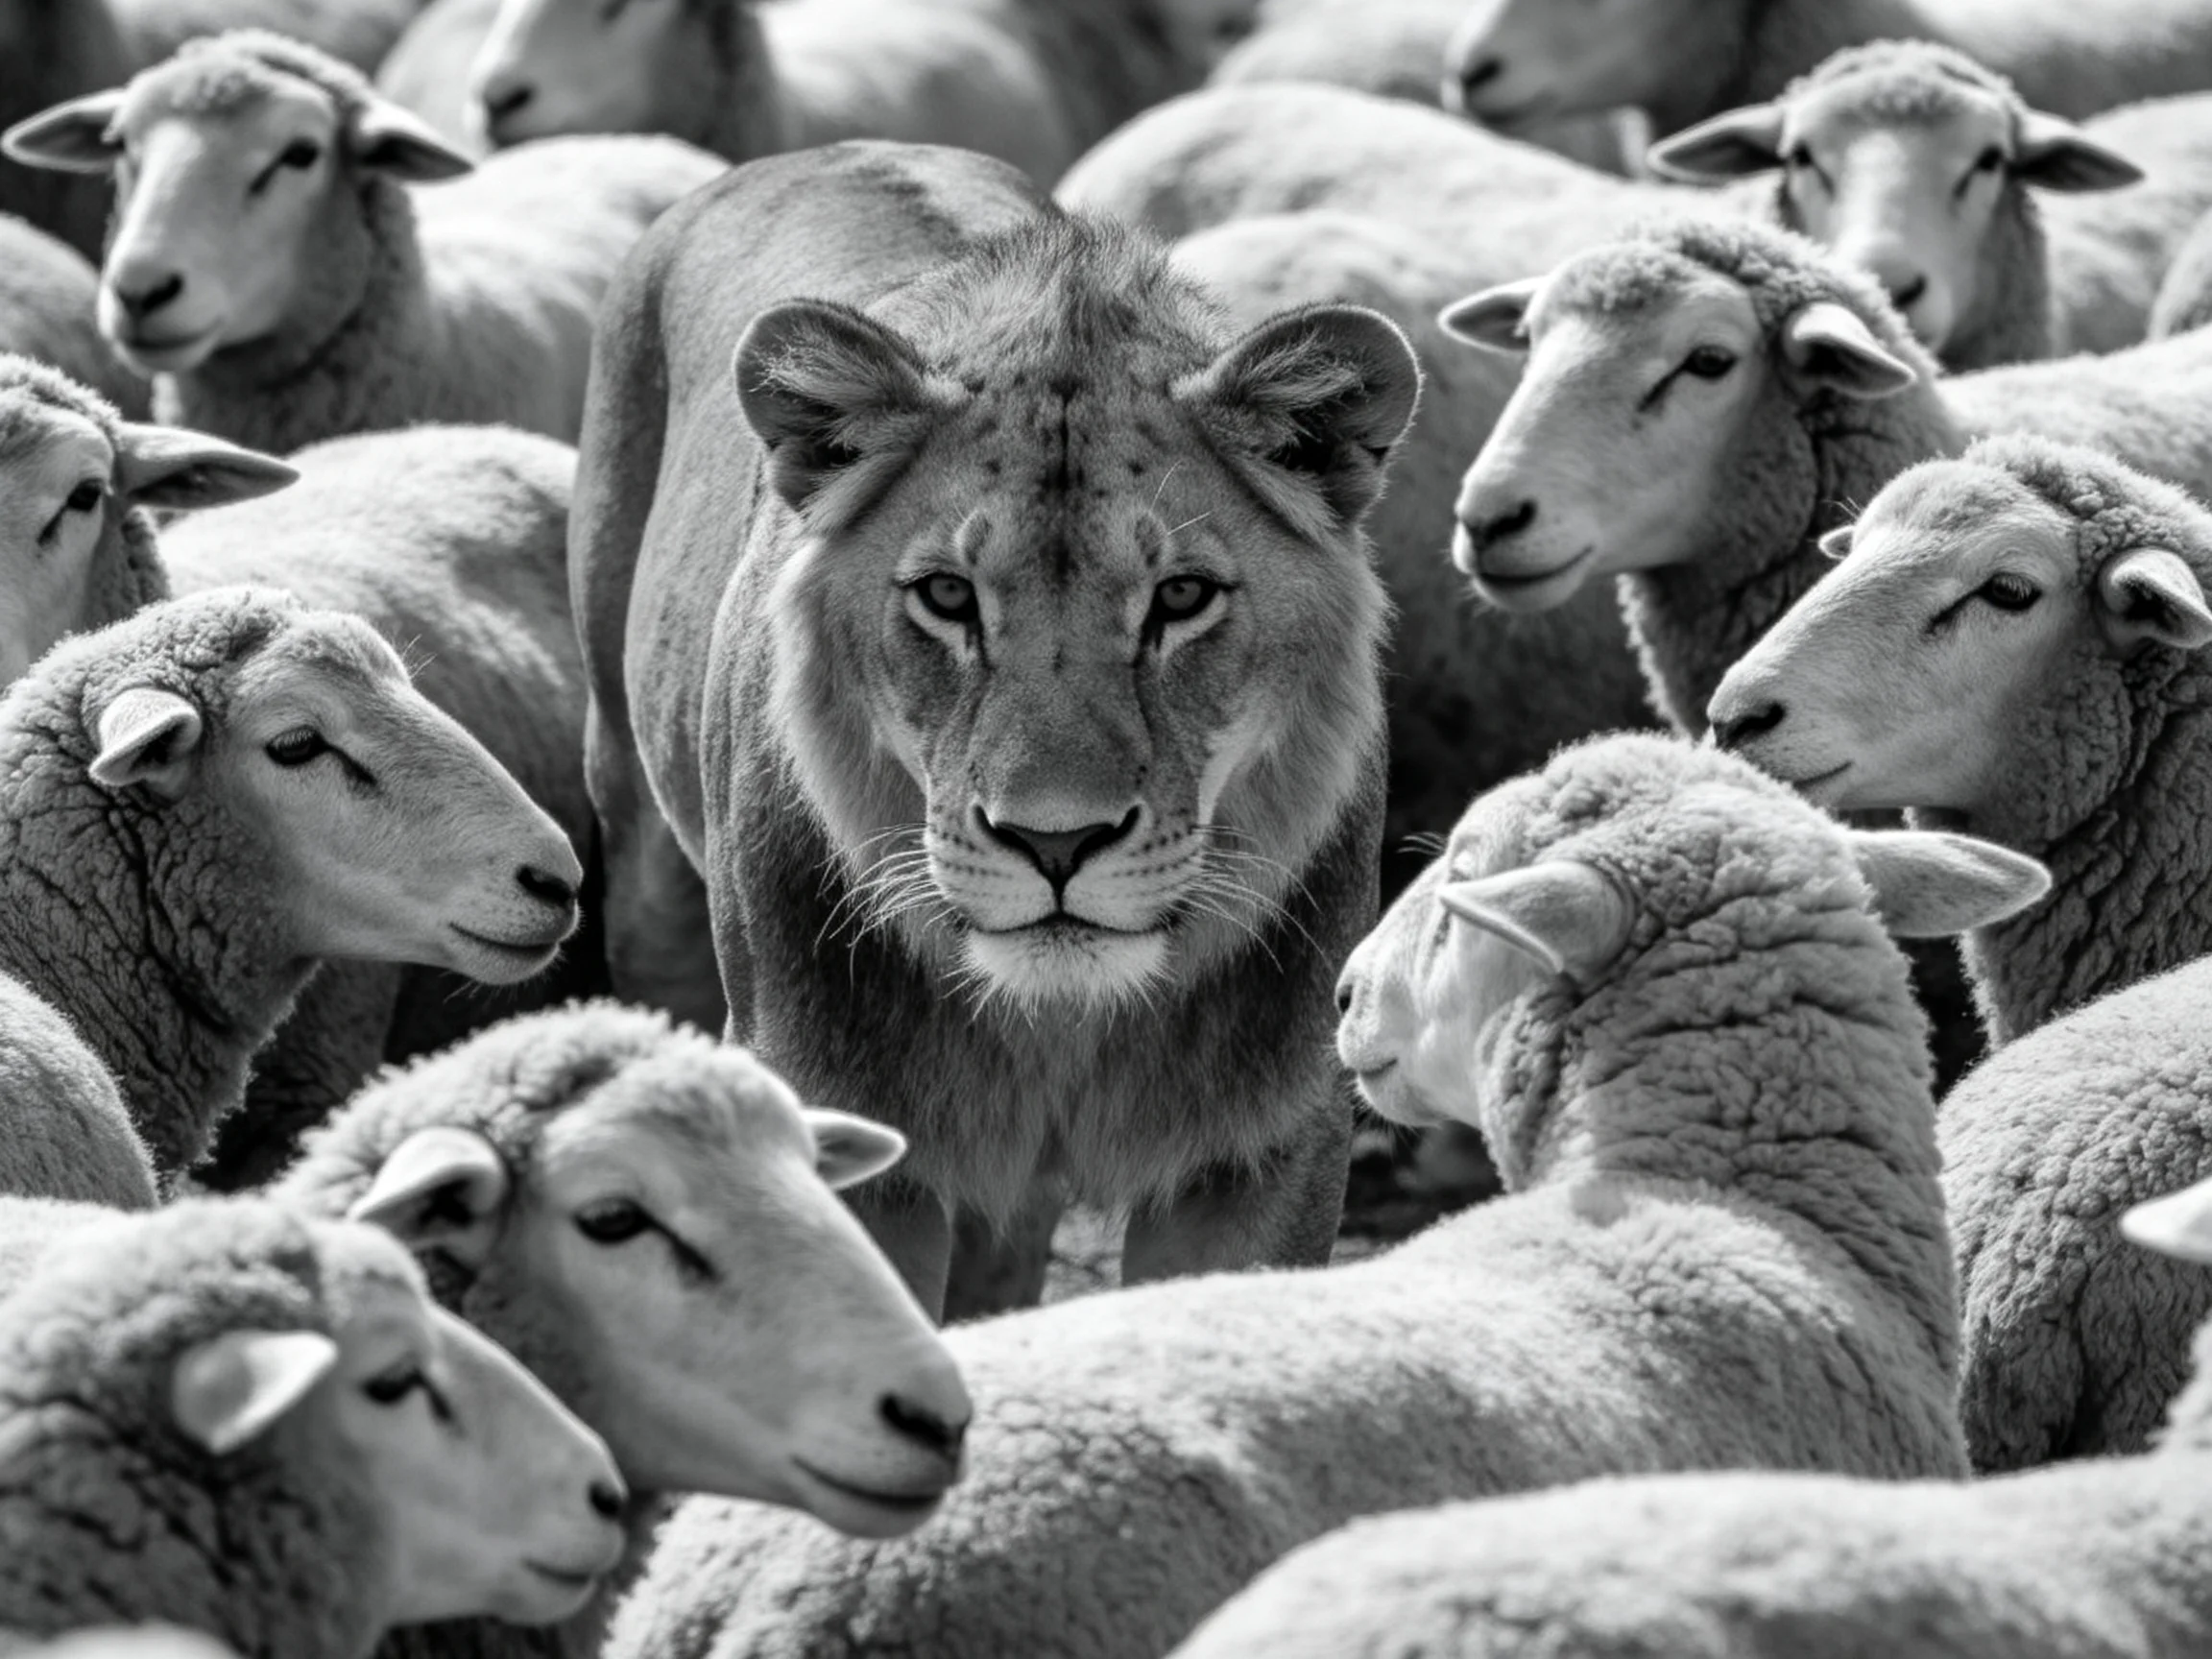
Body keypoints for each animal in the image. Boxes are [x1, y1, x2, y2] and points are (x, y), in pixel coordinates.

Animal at [572, 140, 1420, 1318]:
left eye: (1181, 597)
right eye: (946, 596)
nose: (1056, 843)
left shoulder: (1266, 1138)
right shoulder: (844, 1122)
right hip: (641, 839)